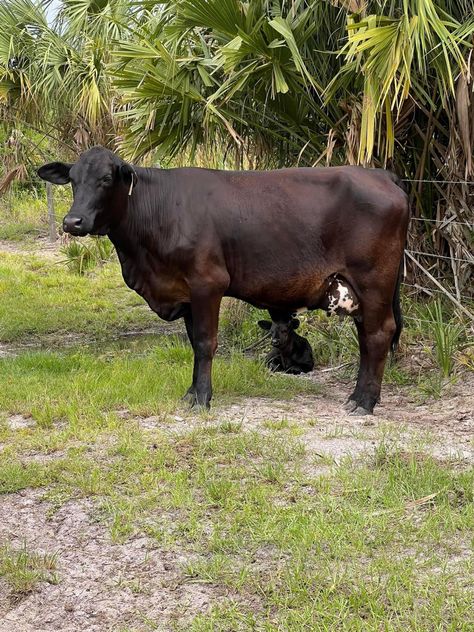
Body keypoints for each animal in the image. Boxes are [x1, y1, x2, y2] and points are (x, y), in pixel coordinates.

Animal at [37, 148, 410, 414]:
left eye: (105, 179)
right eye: (72, 179)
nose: (73, 221)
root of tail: (378, 173)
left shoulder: (207, 282)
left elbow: (205, 343)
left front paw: (203, 398)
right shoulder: (184, 292)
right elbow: (193, 343)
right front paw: (191, 393)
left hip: (374, 281)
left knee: (378, 334)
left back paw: (363, 402)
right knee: (366, 336)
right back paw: (361, 396)